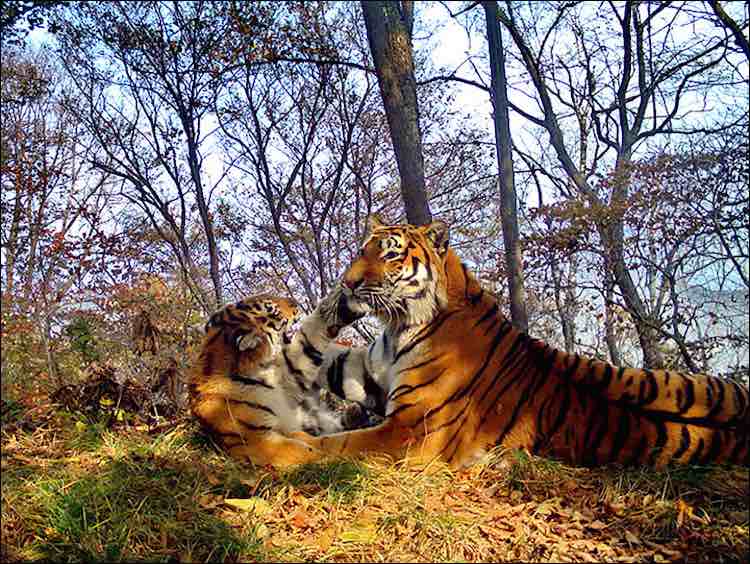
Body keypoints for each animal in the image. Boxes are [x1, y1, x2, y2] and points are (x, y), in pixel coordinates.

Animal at [188, 290, 373, 467]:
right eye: (274, 312)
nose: (294, 301)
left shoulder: (288, 380)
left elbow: (309, 339)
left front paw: (341, 306)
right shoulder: (258, 441)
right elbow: (310, 451)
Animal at [296, 215, 749, 469]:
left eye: (390, 255)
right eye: (362, 250)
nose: (348, 283)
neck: (400, 325)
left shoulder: (411, 429)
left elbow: (337, 445)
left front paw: (285, 451)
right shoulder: (365, 372)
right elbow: (320, 359)